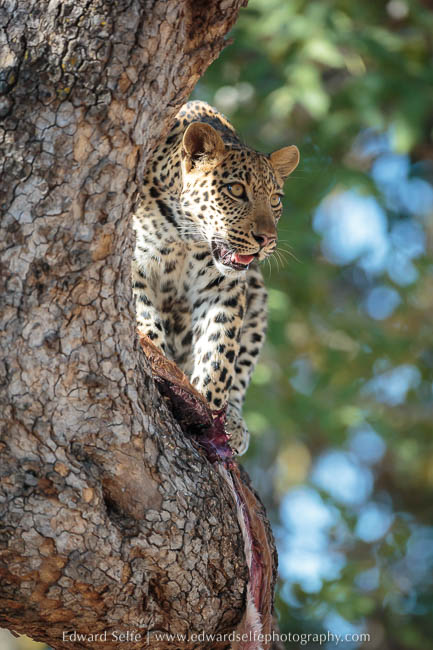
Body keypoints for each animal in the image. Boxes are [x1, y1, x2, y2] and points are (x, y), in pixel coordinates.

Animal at [132, 100, 299, 455]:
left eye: (275, 199)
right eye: (235, 190)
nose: (266, 239)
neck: (186, 236)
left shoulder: (223, 290)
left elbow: (220, 352)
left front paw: (207, 409)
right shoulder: (133, 265)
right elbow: (143, 316)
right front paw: (155, 358)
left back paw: (233, 422)